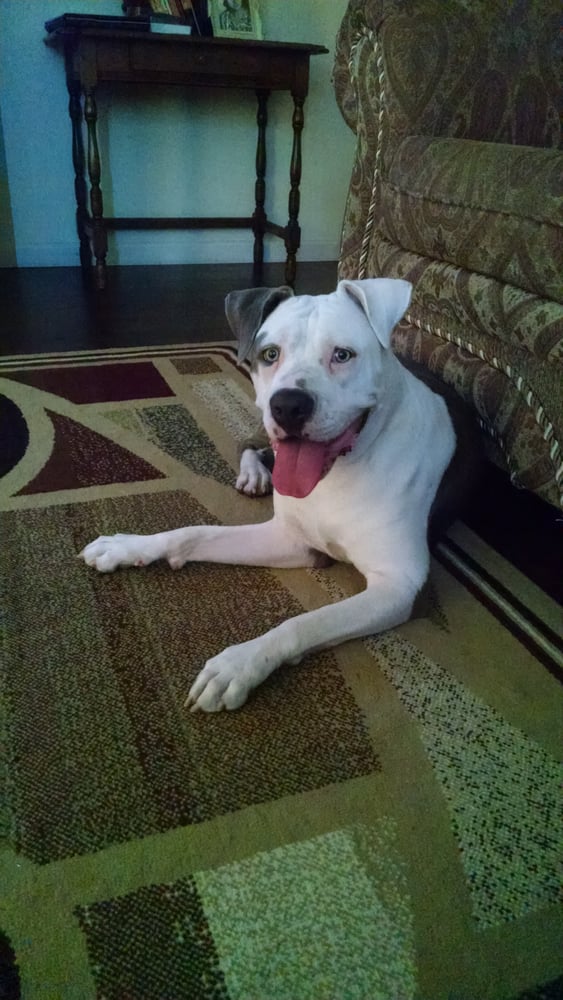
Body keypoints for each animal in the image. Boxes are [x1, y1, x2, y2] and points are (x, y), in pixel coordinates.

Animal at [80, 278, 479, 712]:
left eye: (343, 354)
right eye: (270, 354)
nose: (288, 404)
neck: (340, 472)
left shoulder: (400, 585)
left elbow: (305, 621)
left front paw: (238, 665)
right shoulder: (290, 537)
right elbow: (193, 532)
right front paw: (127, 545)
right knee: (251, 442)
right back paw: (254, 473)